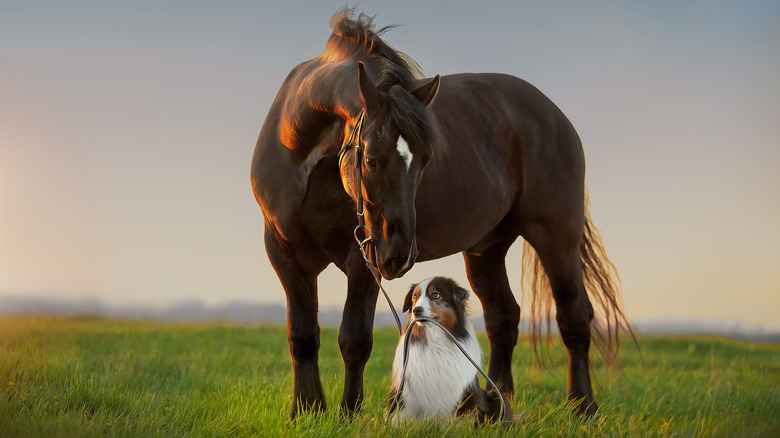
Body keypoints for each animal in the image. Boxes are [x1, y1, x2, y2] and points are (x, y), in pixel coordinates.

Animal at [253, 9, 632, 418]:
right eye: (371, 160)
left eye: (425, 161)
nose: (399, 255)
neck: (300, 155)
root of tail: (554, 115)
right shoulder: (285, 253)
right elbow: (303, 335)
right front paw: (306, 409)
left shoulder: (363, 256)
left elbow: (354, 338)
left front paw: (349, 413)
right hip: (485, 249)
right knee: (503, 317)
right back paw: (498, 402)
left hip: (557, 237)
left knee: (573, 316)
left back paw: (583, 405)